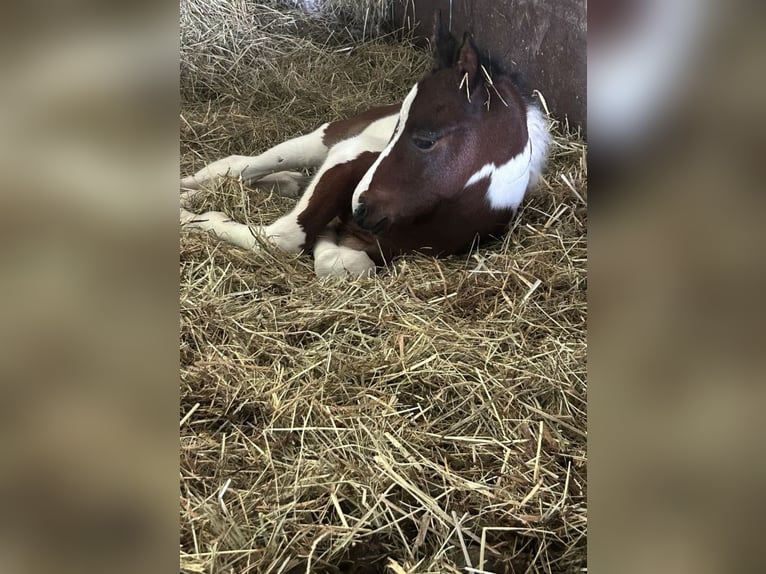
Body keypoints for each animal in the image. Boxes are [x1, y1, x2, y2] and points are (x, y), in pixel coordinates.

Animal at [180, 16, 551, 278]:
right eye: (402, 130)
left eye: (425, 140)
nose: (359, 209)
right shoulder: (346, 156)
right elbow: (282, 238)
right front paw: (196, 216)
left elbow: (341, 265)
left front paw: (327, 238)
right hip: (327, 137)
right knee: (239, 164)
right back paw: (189, 191)